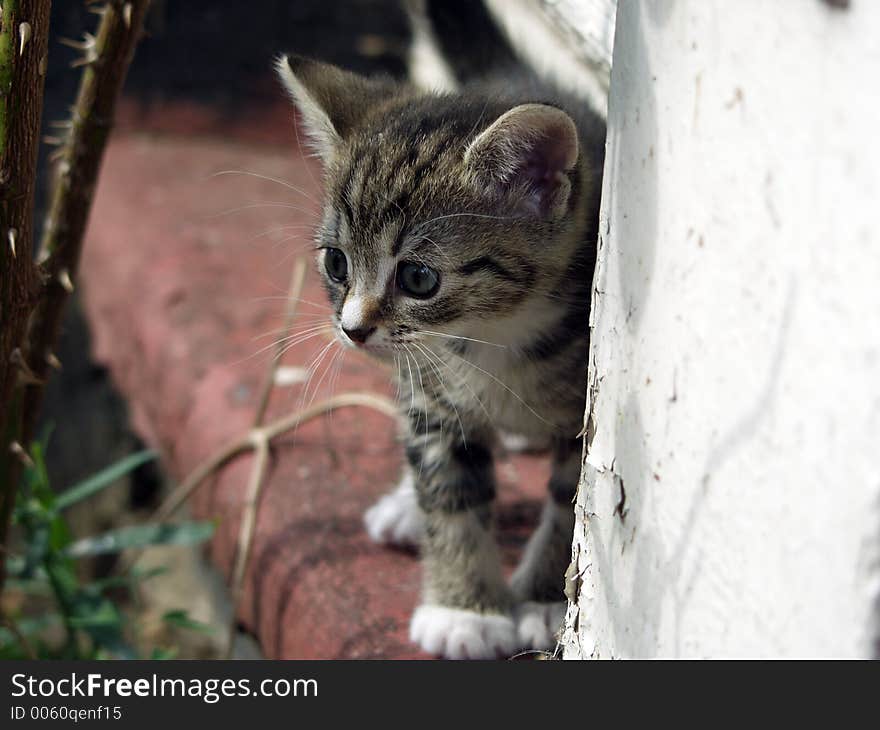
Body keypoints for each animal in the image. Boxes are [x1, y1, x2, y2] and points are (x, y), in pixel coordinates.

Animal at [276, 1, 604, 660]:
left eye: (419, 278)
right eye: (337, 264)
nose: (352, 329)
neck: (493, 338)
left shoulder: (581, 418)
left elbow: (568, 508)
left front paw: (542, 598)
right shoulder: (432, 396)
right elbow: (450, 490)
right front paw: (464, 611)